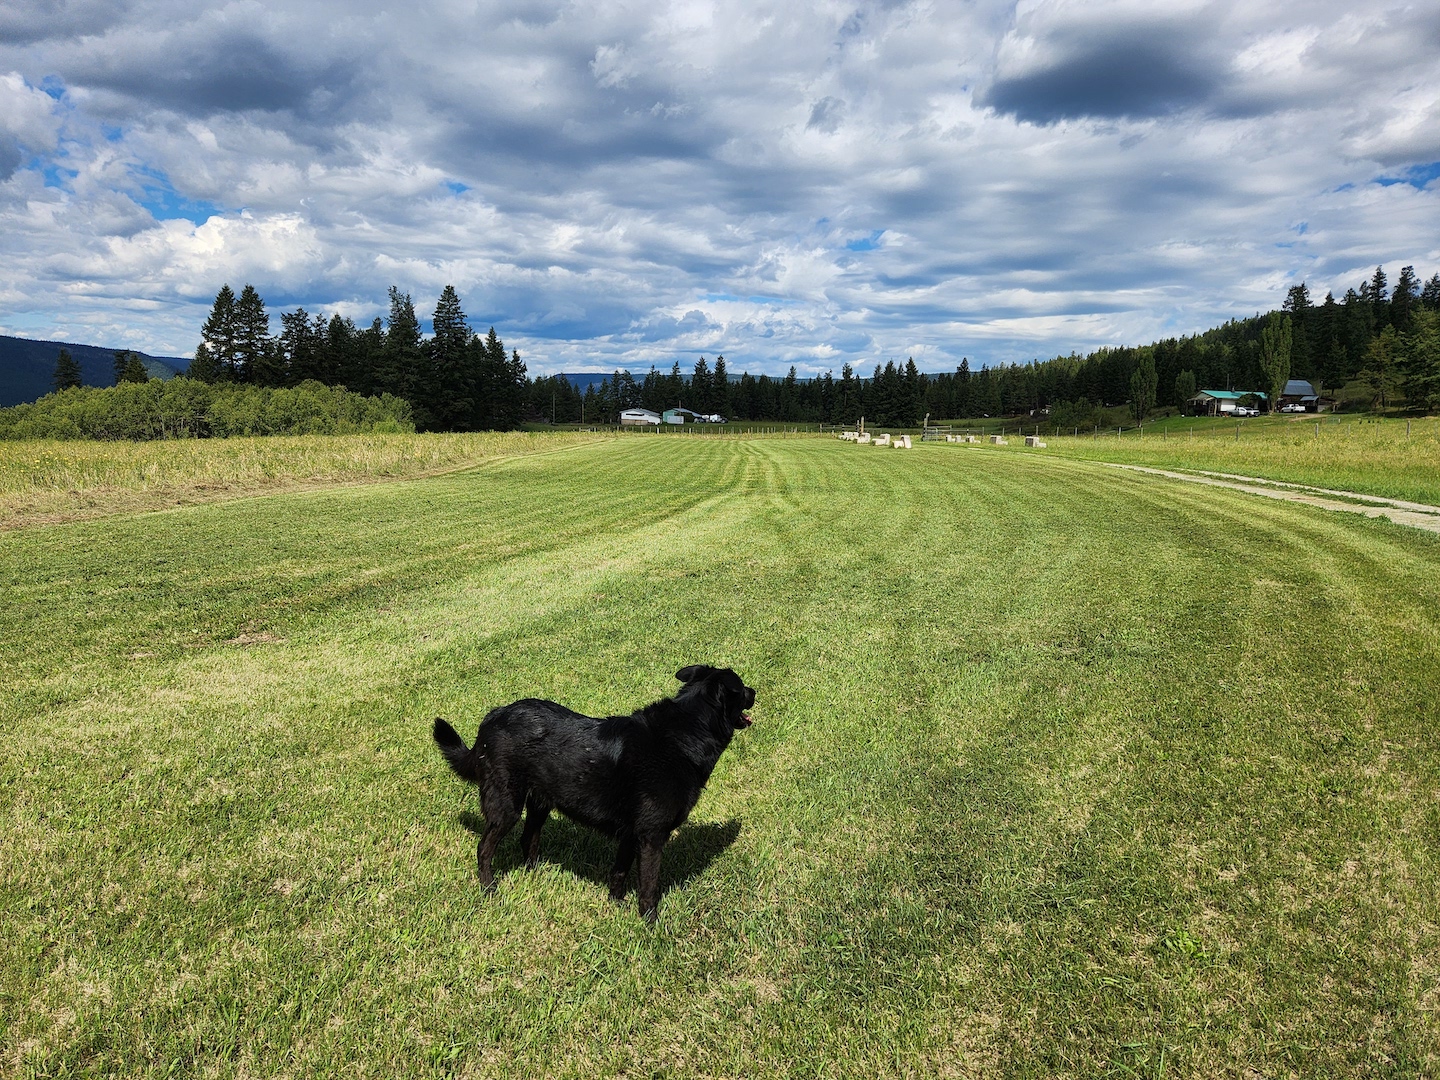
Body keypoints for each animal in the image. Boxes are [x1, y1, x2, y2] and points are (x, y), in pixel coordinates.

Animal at [432, 668, 760, 921]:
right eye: (741, 687)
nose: (756, 690)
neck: (682, 738)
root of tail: (491, 719)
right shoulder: (651, 837)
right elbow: (649, 886)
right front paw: (650, 923)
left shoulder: (631, 835)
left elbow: (619, 873)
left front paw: (616, 905)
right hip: (506, 806)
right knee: (484, 848)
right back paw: (489, 889)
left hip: (540, 803)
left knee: (528, 839)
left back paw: (535, 874)